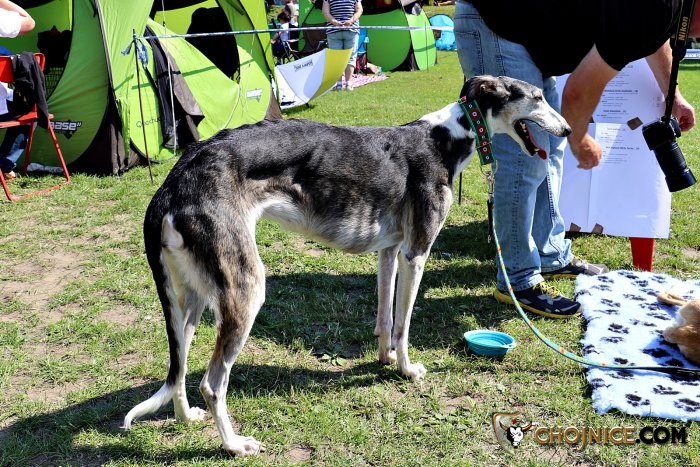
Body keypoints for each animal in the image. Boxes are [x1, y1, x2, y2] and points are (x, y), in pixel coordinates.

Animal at [123, 75, 571, 456]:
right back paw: (234, 445)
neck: (444, 138)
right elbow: (405, 325)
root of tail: (174, 181)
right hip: (245, 289)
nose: (567, 131)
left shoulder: (390, 251)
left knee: (179, 367)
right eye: (537, 96)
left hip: (192, 299)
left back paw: (186, 418)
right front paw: (406, 370)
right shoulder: (416, 252)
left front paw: (385, 358)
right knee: (212, 383)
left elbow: (386, 317)